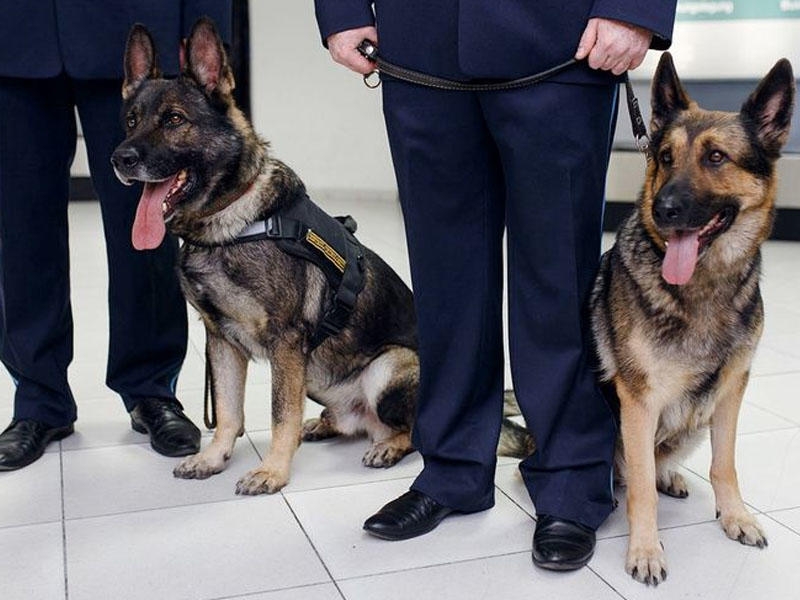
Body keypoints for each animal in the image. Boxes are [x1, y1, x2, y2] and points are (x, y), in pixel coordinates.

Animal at [113, 19, 422, 496]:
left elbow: (281, 413)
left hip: (387, 366)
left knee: (412, 430)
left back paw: (387, 446)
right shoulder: (221, 341)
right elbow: (228, 409)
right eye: (131, 121)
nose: (120, 158)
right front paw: (214, 457)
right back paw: (326, 424)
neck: (228, 222)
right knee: (348, 421)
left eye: (174, 120)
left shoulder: (286, 344)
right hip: (317, 375)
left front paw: (273, 470)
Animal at [500, 54, 792, 584]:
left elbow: (725, 464)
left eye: (715, 157)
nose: (663, 208)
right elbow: (638, 488)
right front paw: (645, 549)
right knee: (618, 472)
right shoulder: (639, 401)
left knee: (660, 460)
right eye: (666, 157)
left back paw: (670, 475)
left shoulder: (731, 391)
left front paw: (735, 516)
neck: (703, 287)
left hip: (694, 421)